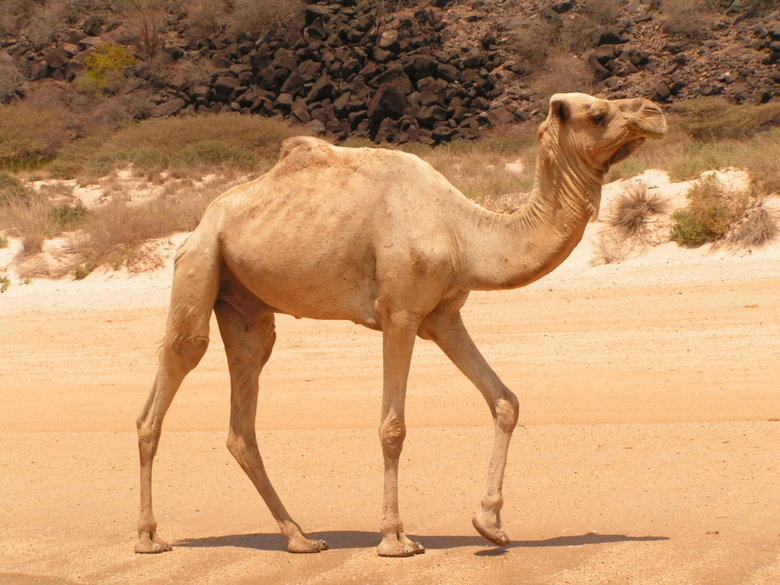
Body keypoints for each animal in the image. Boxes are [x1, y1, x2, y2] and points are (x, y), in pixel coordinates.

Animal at [135, 93, 666, 557]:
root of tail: (203, 220)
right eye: (597, 113)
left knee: (244, 408)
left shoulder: (443, 315)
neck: (464, 234)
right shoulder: (400, 313)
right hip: (201, 261)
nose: (655, 111)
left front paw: (490, 524)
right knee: (178, 362)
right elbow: (393, 427)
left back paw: (300, 538)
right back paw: (148, 537)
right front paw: (395, 539)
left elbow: (504, 400)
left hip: (247, 306)